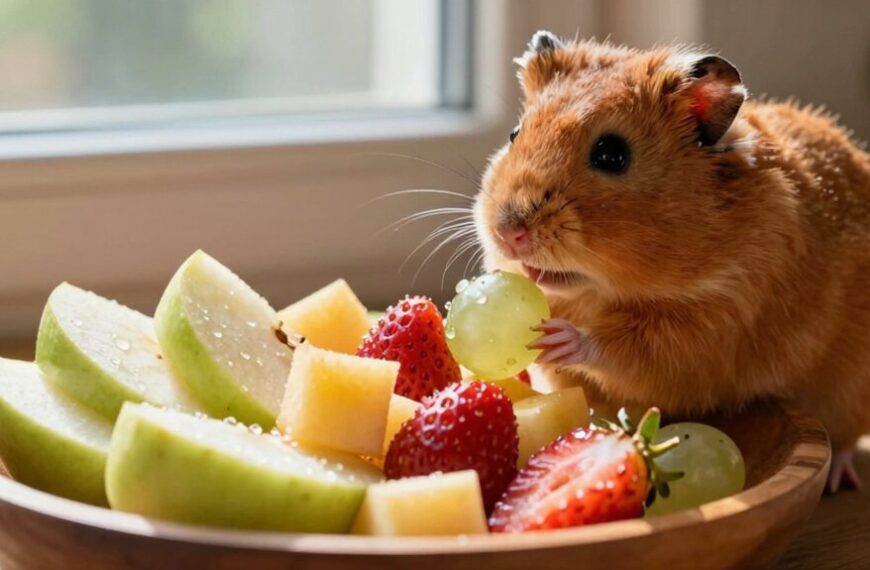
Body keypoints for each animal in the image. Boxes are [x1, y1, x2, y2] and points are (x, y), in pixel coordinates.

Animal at [474, 31, 870, 493]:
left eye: (612, 154)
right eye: (514, 133)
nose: (509, 233)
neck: (599, 293)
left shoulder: (709, 326)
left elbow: (622, 350)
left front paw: (558, 338)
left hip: (848, 388)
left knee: (845, 438)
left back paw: (839, 478)